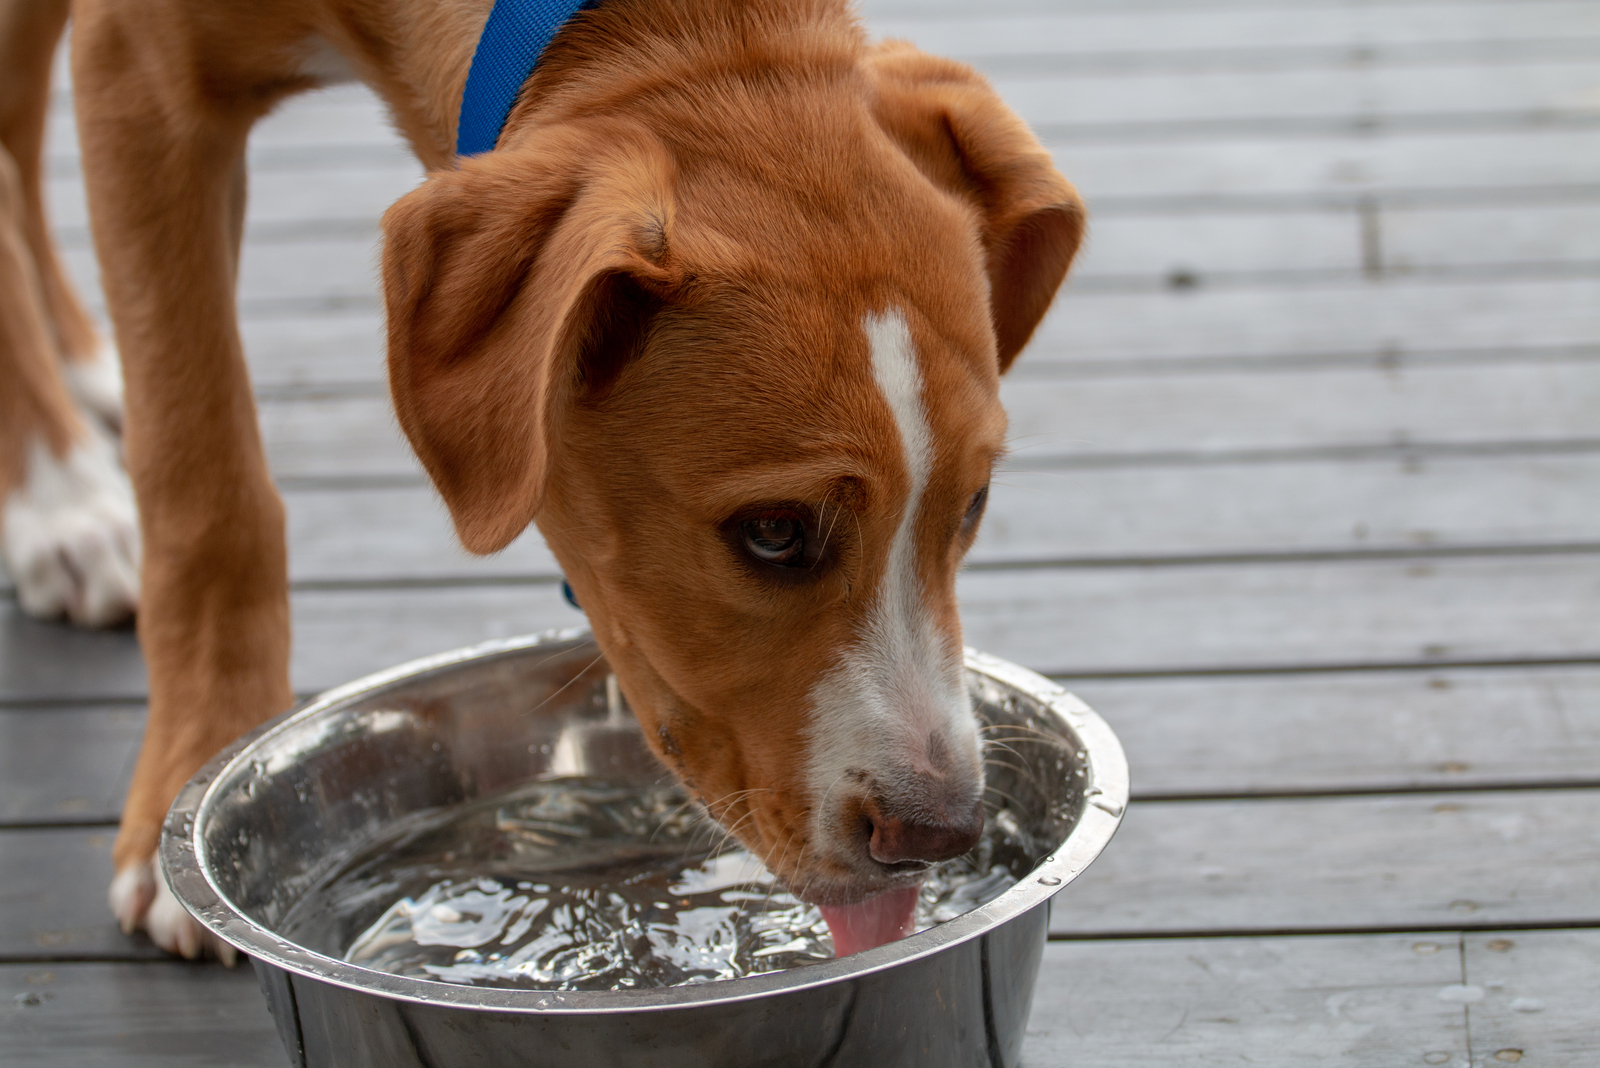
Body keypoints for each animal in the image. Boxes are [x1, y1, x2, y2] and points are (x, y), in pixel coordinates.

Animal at [0, 0, 1081, 952]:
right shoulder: (139, 69)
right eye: (773, 531)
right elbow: (203, 472)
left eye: (973, 504)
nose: (937, 834)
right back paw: (60, 497)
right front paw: (197, 755)